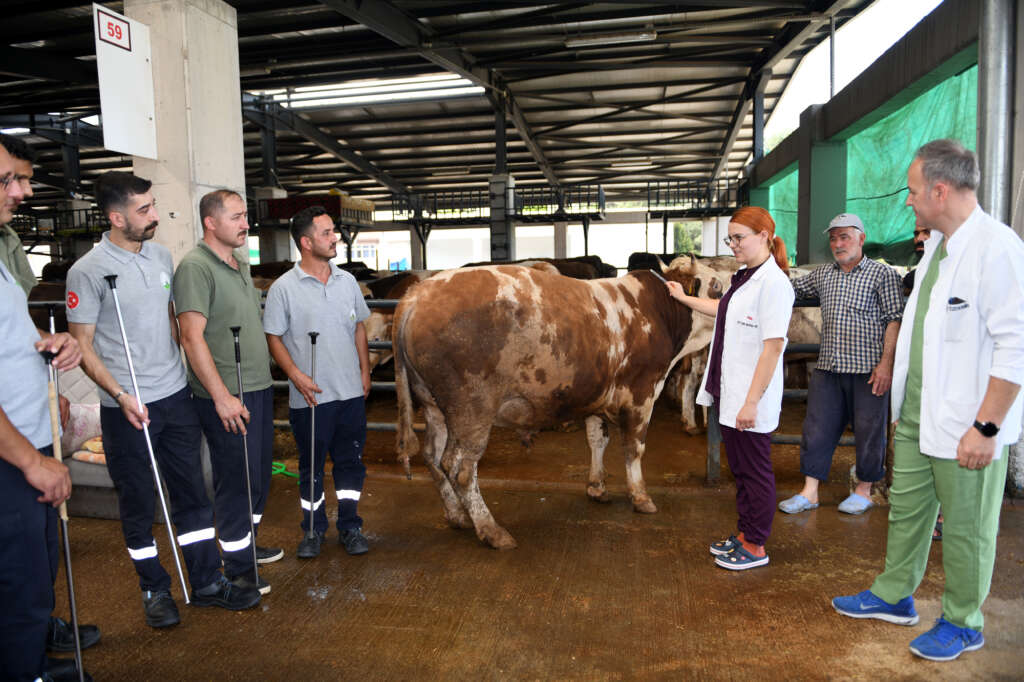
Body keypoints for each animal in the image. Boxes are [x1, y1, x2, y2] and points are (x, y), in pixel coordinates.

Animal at [391, 256, 729, 548]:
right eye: (716, 285)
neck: (655, 310)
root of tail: (418, 295)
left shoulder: (598, 397)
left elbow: (597, 440)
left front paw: (597, 487)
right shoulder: (641, 394)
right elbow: (634, 448)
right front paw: (641, 496)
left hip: (434, 406)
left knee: (433, 457)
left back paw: (457, 516)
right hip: (471, 411)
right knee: (459, 468)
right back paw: (491, 530)